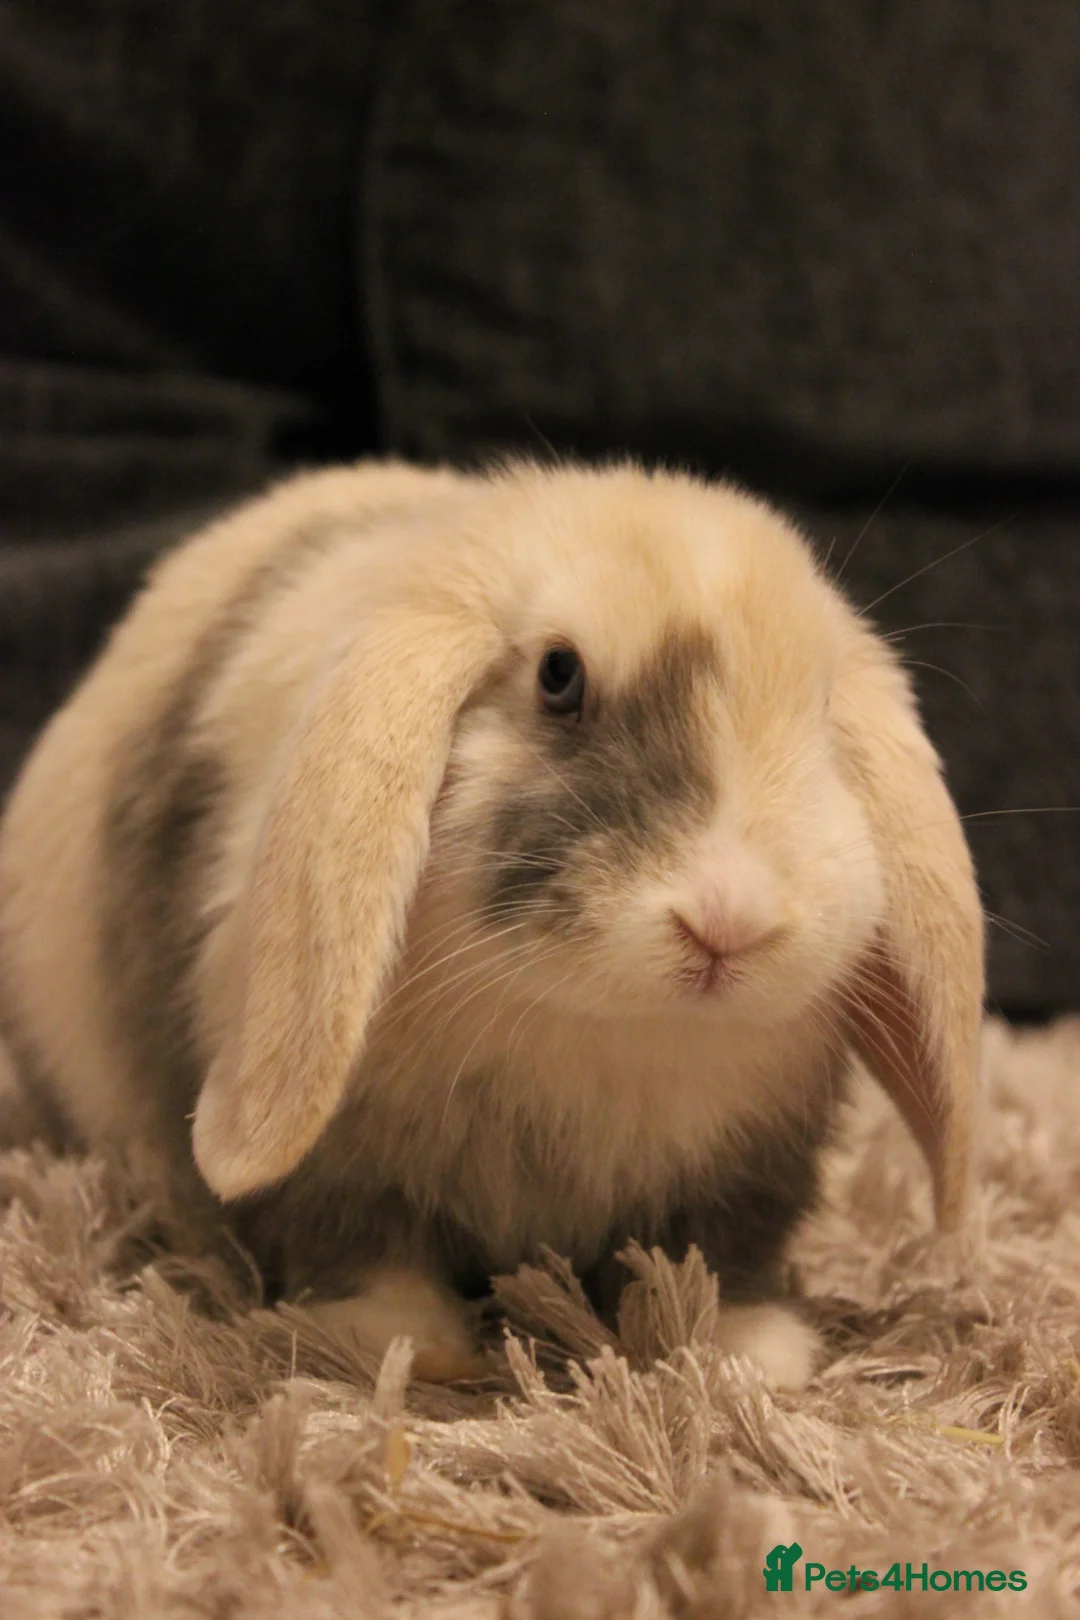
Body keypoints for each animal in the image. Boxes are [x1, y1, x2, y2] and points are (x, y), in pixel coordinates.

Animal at [0, 459, 984, 1387]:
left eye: (822, 707)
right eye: (559, 675)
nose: (729, 923)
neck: (602, 1028)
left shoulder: (752, 1162)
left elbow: (716, 1251)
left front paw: (747, 1350)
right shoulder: (341, 1159)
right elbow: (356, 1242)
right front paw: (401, 1343)